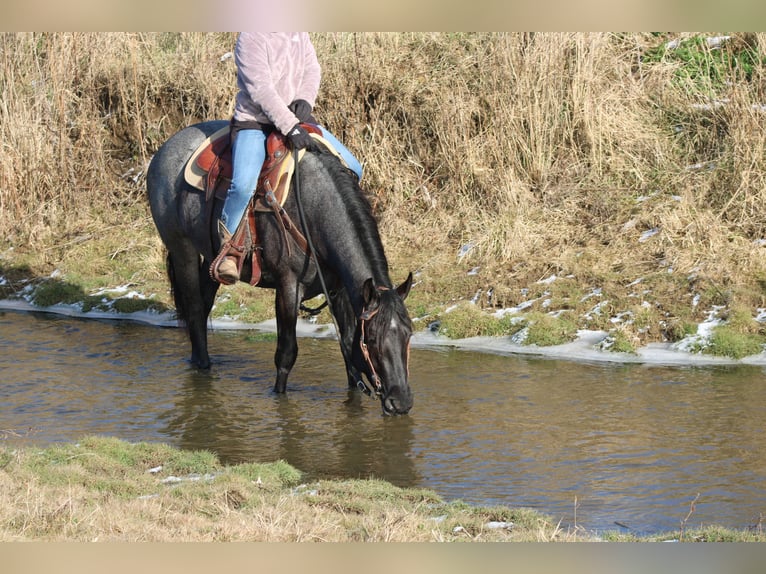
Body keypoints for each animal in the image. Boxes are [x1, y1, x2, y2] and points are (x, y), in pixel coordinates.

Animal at [146, 120, 414, 415]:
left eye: (408, 334)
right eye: (373, 339)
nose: (401, 402)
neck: (315, 208)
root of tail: (166, 149)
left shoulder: (340, 289)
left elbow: (347, 344)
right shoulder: (288, 286)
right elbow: (286, 353)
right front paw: (280, 398)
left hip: (212, 258)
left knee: (203, 307)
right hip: (182, 249)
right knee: (194, 309)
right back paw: (203, 368)